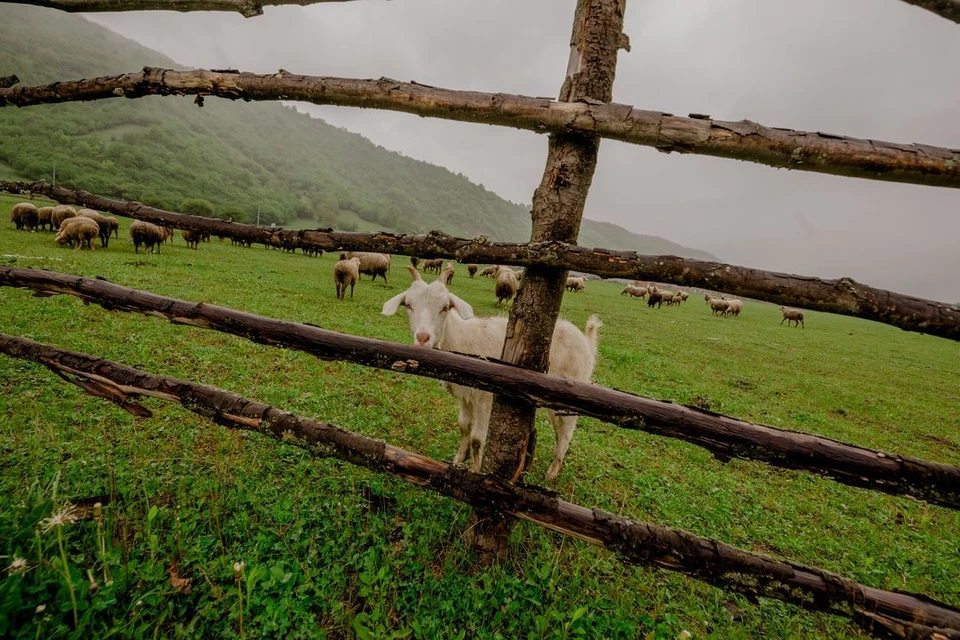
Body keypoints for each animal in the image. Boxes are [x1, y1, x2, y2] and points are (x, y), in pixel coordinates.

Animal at [382, 264, 600, 480]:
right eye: (408, 305)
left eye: (445, 307)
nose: (423, 338)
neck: (459, 337)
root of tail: (586, 342)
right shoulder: (465, 396)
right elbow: (464, 427)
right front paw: (458, 458)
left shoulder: (485, 399)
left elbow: (478, 439)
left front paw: (475, 470)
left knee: (565, 433)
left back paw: (552, 473)